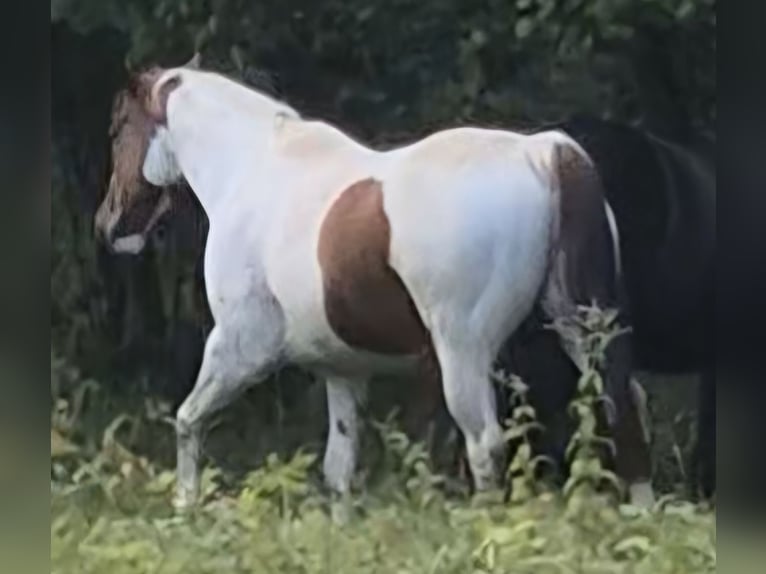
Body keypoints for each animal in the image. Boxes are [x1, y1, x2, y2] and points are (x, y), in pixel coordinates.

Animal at [93, 58, 653, 511]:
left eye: (119, 129)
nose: (109, 225)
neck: (252, 171)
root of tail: (544, 152)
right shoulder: (342, 371)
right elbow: (338, 470)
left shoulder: (238, 345)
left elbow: (188, 419)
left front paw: (185, 505)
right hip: (581, 327)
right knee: (624, 408)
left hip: (463, 352)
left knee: (485, 443)